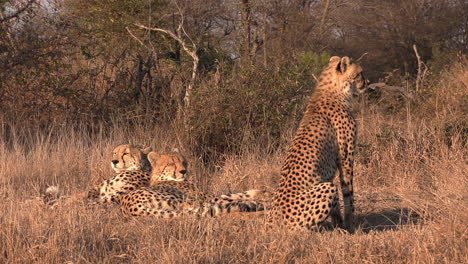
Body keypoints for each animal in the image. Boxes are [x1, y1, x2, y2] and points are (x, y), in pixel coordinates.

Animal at [266, 56, 366, 231]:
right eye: (359, 73)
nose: (367, 82)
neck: (336, 91)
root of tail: (270, 222)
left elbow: (337, 204)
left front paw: (340, 226)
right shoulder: (346, 158)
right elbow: (348, 193)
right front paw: (351, 225)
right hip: (326, 188)